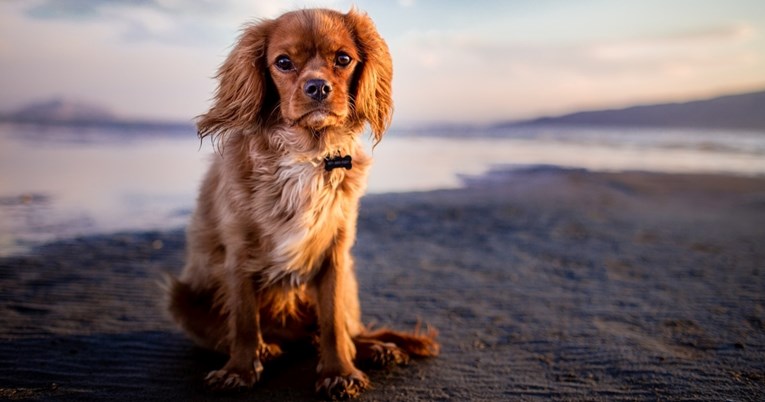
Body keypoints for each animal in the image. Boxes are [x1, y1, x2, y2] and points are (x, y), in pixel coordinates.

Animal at [168, 7, 438, 400]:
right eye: (283, 62)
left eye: (343, 59)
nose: (318, 87)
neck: (307, 155)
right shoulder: (239, 253)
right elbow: (244, 321)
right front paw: (239, 370)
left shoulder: (335, 252)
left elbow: (333, 323)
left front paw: (340, 372)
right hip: (181, 298)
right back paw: (268, 348)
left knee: (345, 330)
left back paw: (376, 348)